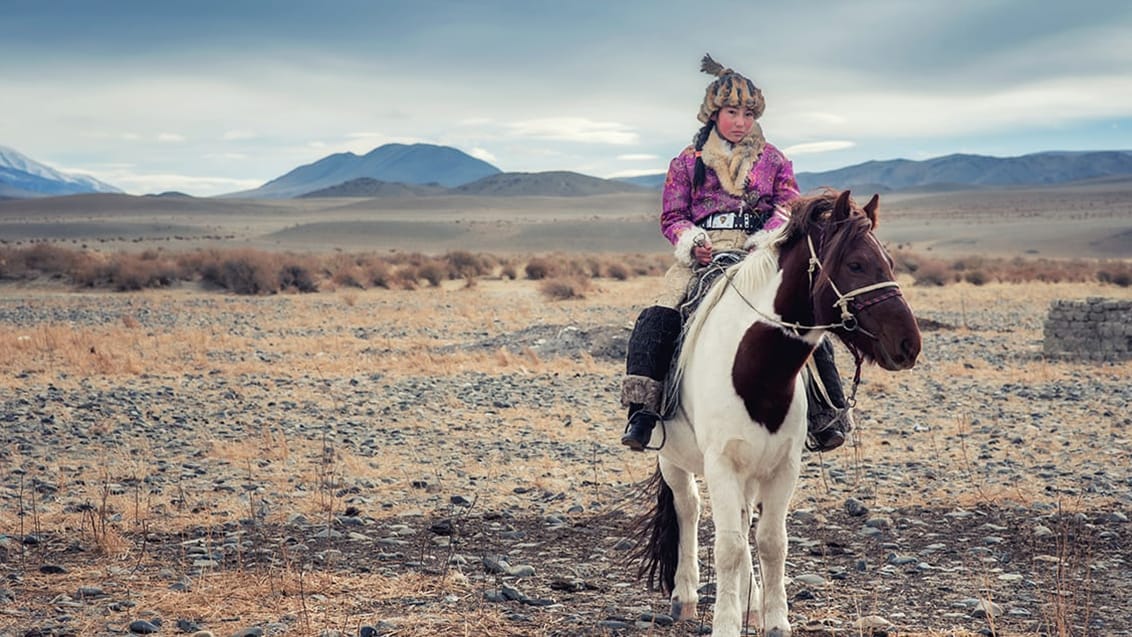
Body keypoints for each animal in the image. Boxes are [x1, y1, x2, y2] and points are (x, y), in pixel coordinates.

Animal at [633, 188, 923, 637]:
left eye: (889, 262)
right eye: (856, 264)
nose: (909, 344)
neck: (757, 372)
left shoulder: (783, 466)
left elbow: (771, 542)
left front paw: (774, 620)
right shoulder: (721, 464)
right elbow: (729, 546)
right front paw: (726, 624)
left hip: (751, 470)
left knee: (741, 520)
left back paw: (750, 603)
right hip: (672, 458)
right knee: (689, 508)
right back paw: (685, 597)